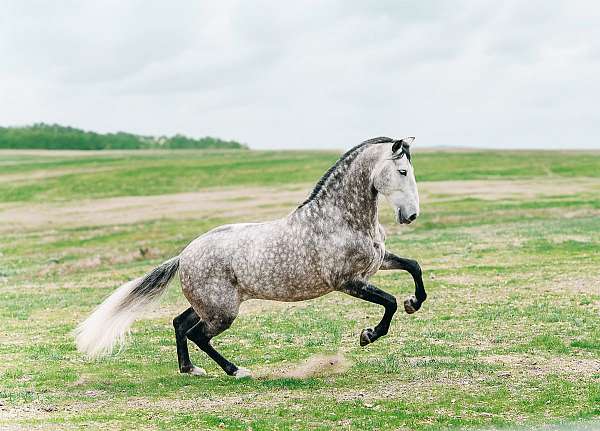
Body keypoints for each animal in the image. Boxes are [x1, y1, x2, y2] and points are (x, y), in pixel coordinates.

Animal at [76, 138, 426, 378]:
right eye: (402, 171)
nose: (411, 216)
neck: (339, 219)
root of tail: (184, 255)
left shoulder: (378, 263)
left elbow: (414, 267)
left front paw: (414, 302)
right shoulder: (348, 282)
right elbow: (389, 302)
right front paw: (368, 335)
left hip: (212, 304)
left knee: (180, 323)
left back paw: (190, 370)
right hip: (223, 312)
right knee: (198, 335)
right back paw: (236, 371)